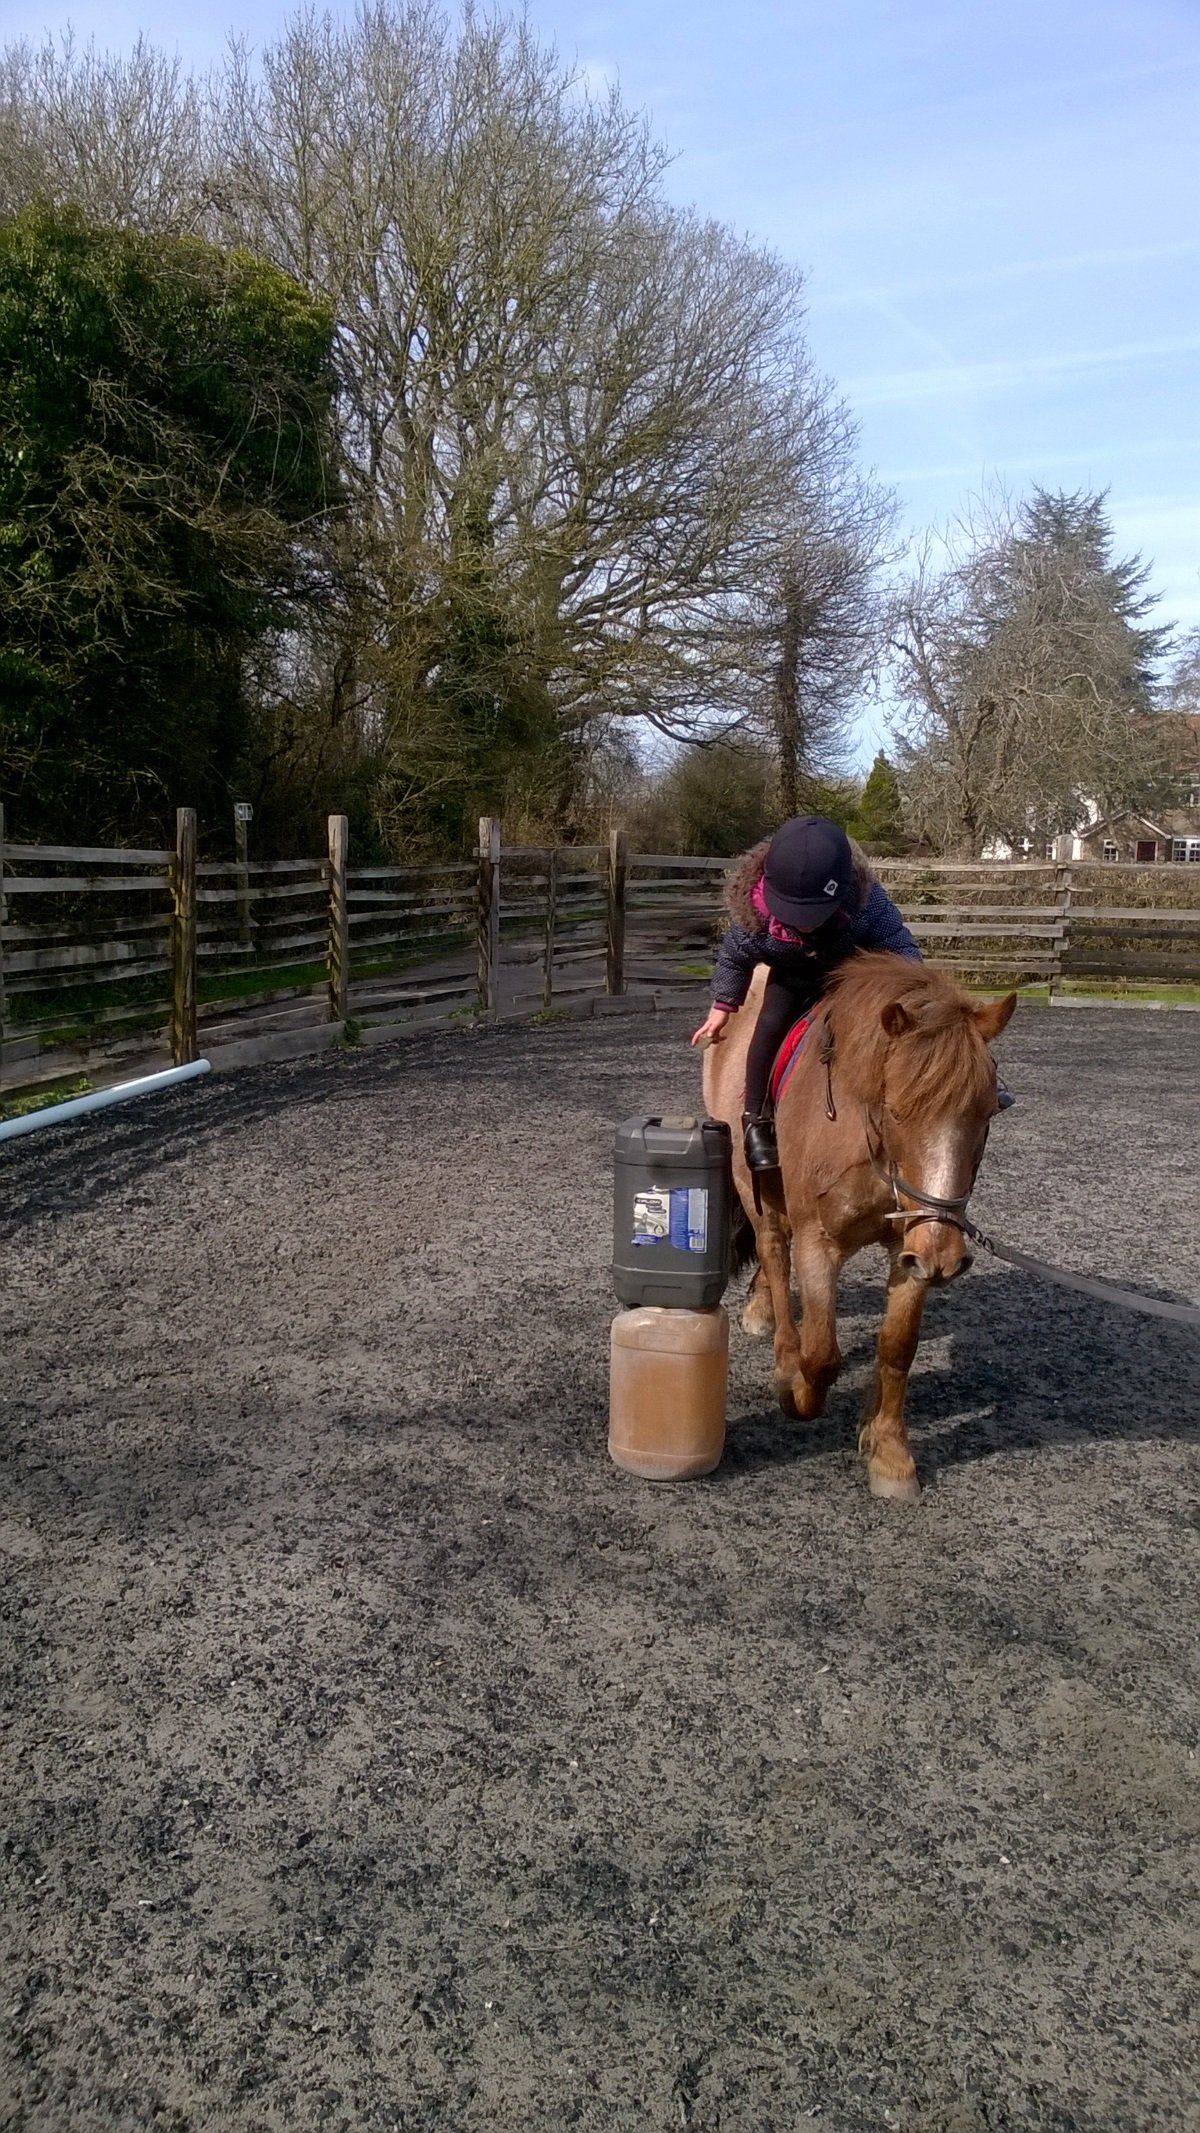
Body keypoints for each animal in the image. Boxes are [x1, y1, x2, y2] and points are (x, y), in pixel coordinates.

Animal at [702, 953, 1016, 1501]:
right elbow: (822, 1354)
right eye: (897, 1110)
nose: (946, 1256)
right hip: (751, 1187)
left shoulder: (913, 1244)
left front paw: (889, 1452)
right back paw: (780, 1343)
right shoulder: (819, 1242)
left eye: (988, 1112)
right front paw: (795, 1390)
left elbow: (897, 1346)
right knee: (773, 1252)